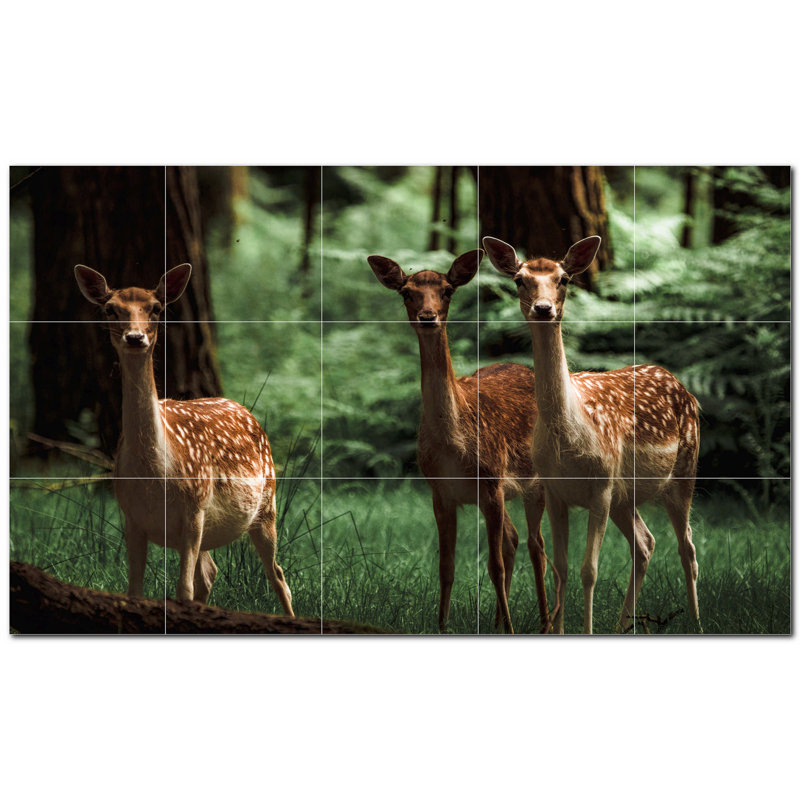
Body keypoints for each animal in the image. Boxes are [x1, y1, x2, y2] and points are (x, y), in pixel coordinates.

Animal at [74, 263, 294, 615]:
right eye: (110, 309)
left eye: (156, 308)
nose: (134, 337)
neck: (155, 474)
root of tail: (245, 410)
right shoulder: (131, 517)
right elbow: (135, 590)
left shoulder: (194, 507)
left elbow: (183, 589)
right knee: (211, 573)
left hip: (267, 503)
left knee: (277, 575)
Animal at [369, 249, 548, 634]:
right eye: (406, 292)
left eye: (448, 290)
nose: (428, 316)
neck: (454, 447)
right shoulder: (441, 492)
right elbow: (446, 566)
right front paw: (441, 626)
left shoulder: (491, 481)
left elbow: (494, 566)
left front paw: (512, 627)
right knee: (513, 539)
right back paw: (498, 624)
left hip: (534, 480)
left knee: (535, 545)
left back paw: (545, 622)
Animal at [483, 235, 700, 634]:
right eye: (520, 279)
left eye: (564, 278)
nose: (543, 308)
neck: (569, 436)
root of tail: (683, 387)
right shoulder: (554, 490)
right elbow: (561, 569)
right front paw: (558, 629)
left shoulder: (600, 485)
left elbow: (589, 571)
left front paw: (585, 629)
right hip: (625, 495)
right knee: (645, 543)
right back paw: (622, 626)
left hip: (683, 470)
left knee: (687, 547)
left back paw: (696, 622)